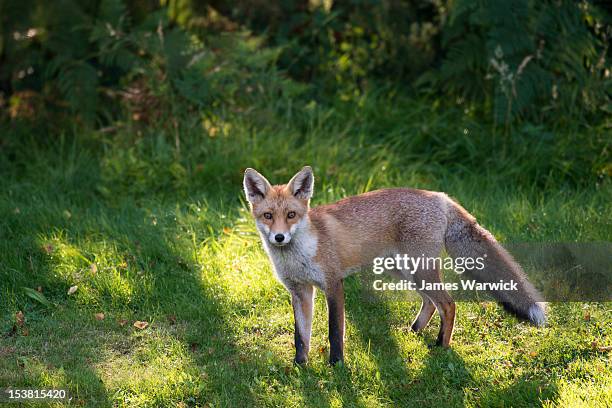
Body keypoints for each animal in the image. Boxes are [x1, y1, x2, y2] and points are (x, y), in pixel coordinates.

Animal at [243, 166, 544, 364]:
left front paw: (336, 365)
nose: (279, 237)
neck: (299, 253)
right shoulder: (300, 291)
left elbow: (334, 331)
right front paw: (300, 366)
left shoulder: (333, 284)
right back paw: (415, 331)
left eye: (291, 215)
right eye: (268, 216)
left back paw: (441, 346)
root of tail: (439, 196)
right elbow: (301, 336)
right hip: (406, 271)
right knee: (430, 302)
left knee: (448, 304)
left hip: (420, 271)